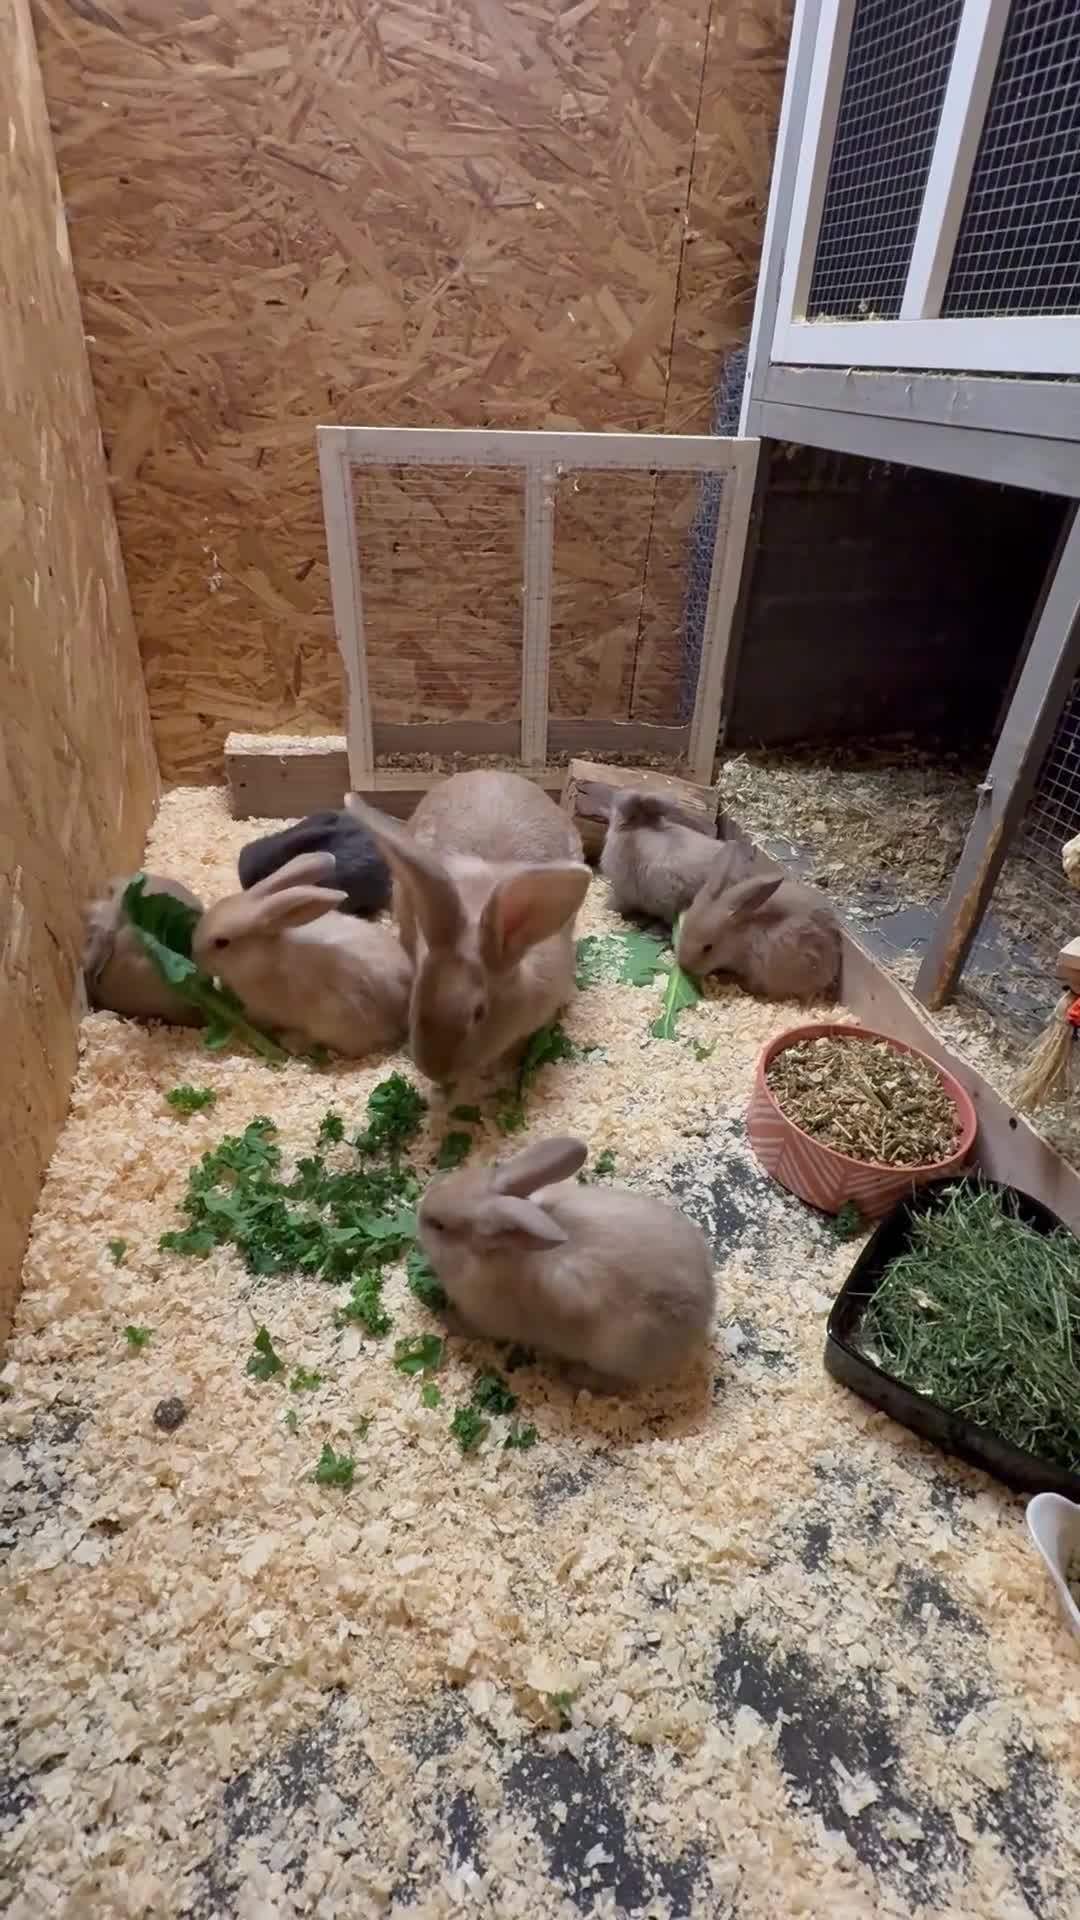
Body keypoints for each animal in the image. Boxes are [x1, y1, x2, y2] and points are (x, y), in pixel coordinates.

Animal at [417, 1135, 716, 1391]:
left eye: (439, 1225)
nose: (419, 1212)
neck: (496, 1254)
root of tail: (702, 1319)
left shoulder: (485, 1318)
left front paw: (445, 1318)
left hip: (620, 1352)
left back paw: (573, 1374)